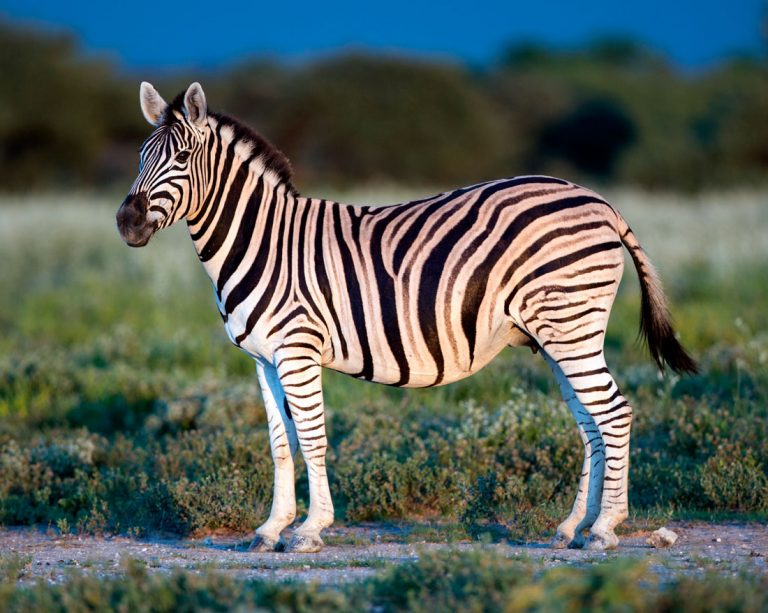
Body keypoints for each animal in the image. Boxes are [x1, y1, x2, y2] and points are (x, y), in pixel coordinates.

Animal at [117, 82, 697, 553]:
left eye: (182, 157)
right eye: (141, 156)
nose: (126, 222)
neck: (262, 240)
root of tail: (599, 201)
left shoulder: (298, 349)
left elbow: (312, 437)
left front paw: (309, 530)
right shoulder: (263, 358)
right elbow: (281, 444)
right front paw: (270, 529)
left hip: (571, 324)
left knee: (614, 413)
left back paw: (604, 530)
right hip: (558, 334)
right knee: (592, 424)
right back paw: (573, 526)